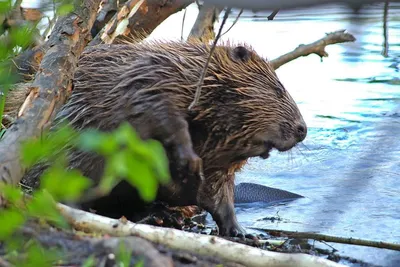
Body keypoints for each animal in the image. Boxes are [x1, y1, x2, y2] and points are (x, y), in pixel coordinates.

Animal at [21, 39, 308, 237]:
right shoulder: (154, 77)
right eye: (278, 90)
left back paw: (161, 216)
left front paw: (240, 231)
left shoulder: (220, 165)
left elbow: (220, 195)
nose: (302, 129)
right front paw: (190, 161)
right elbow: (157, 111)